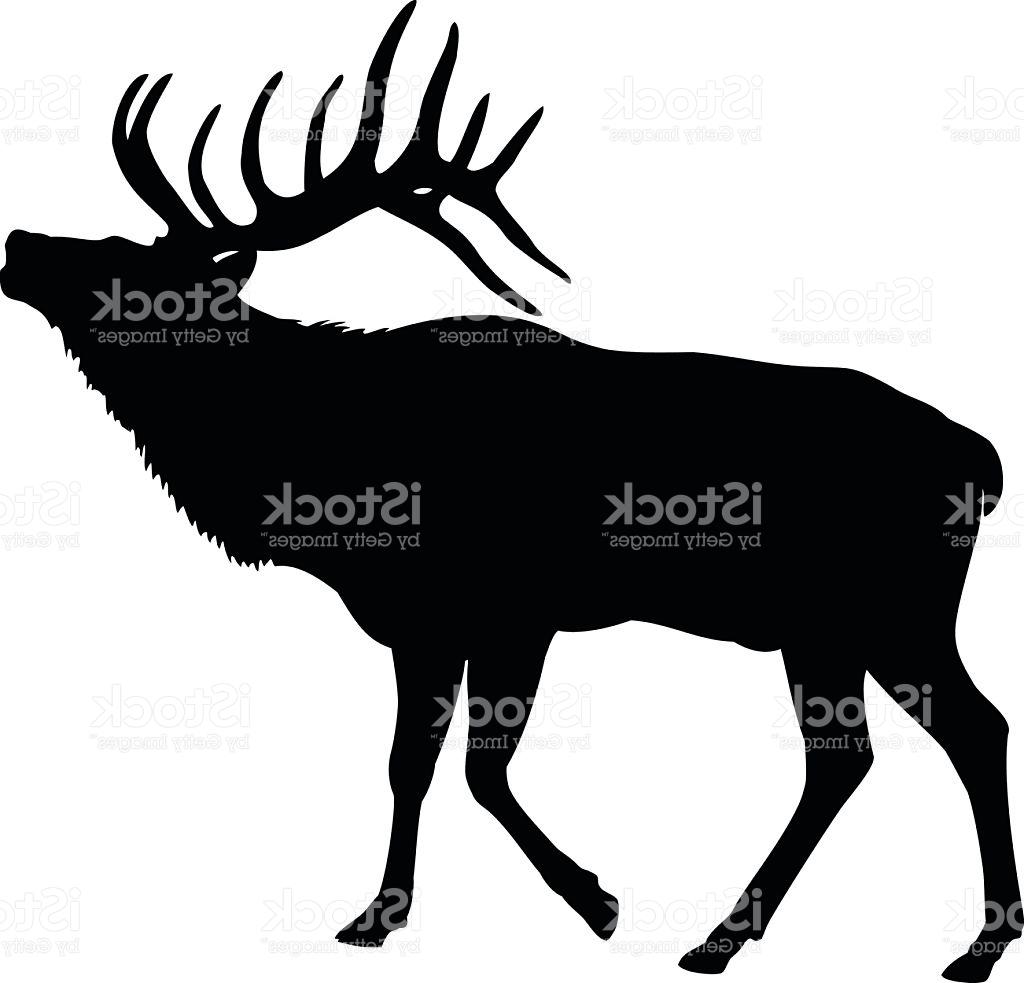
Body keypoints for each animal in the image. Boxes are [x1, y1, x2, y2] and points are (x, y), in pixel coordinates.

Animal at [0, 3, 1019, 980]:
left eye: (128, 269)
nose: (19, 238)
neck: (323, 468)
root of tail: (982, 460)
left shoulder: (509, 609)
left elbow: (475, 773)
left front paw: (597, 901)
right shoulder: (425, 620)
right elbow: (409, 764)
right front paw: (380, 913)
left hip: (893, 607)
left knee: (971, 726)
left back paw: (972, 943)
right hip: (826, 627)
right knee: (850, 757)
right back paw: (728, 935)